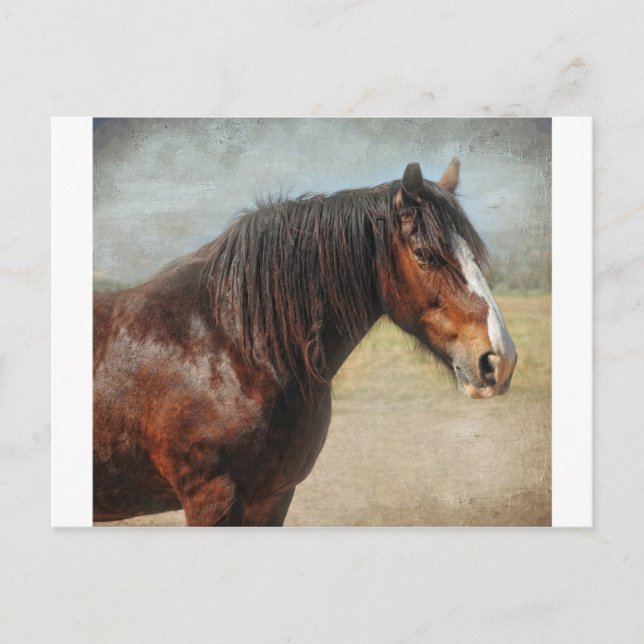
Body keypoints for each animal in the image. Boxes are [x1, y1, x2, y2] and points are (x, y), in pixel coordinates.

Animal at [93, 160, 517, 526]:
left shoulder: (273, 498)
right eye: (424, 255)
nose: (500, 360)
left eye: (475, 256)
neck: (232, 346)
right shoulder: (211, 499)